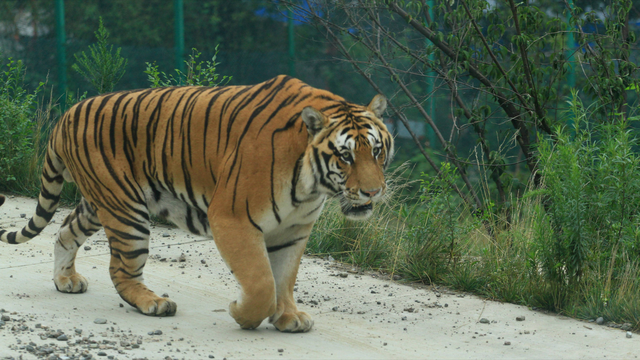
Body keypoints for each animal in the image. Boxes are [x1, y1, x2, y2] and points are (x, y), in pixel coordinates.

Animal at [0, 74, 392, 334]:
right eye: (345, 156)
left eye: (376, 150)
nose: (373, 192)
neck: (311, 184)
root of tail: (66, 115)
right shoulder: (232, 218)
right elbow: (261, 282)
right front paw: (242, 313)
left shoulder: (295, 228)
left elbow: (284, 277)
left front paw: (287, 317)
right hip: (126, 211)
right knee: (122, 269)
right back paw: (154, 303)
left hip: (101, 203)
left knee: (65, 231)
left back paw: (65, 280)